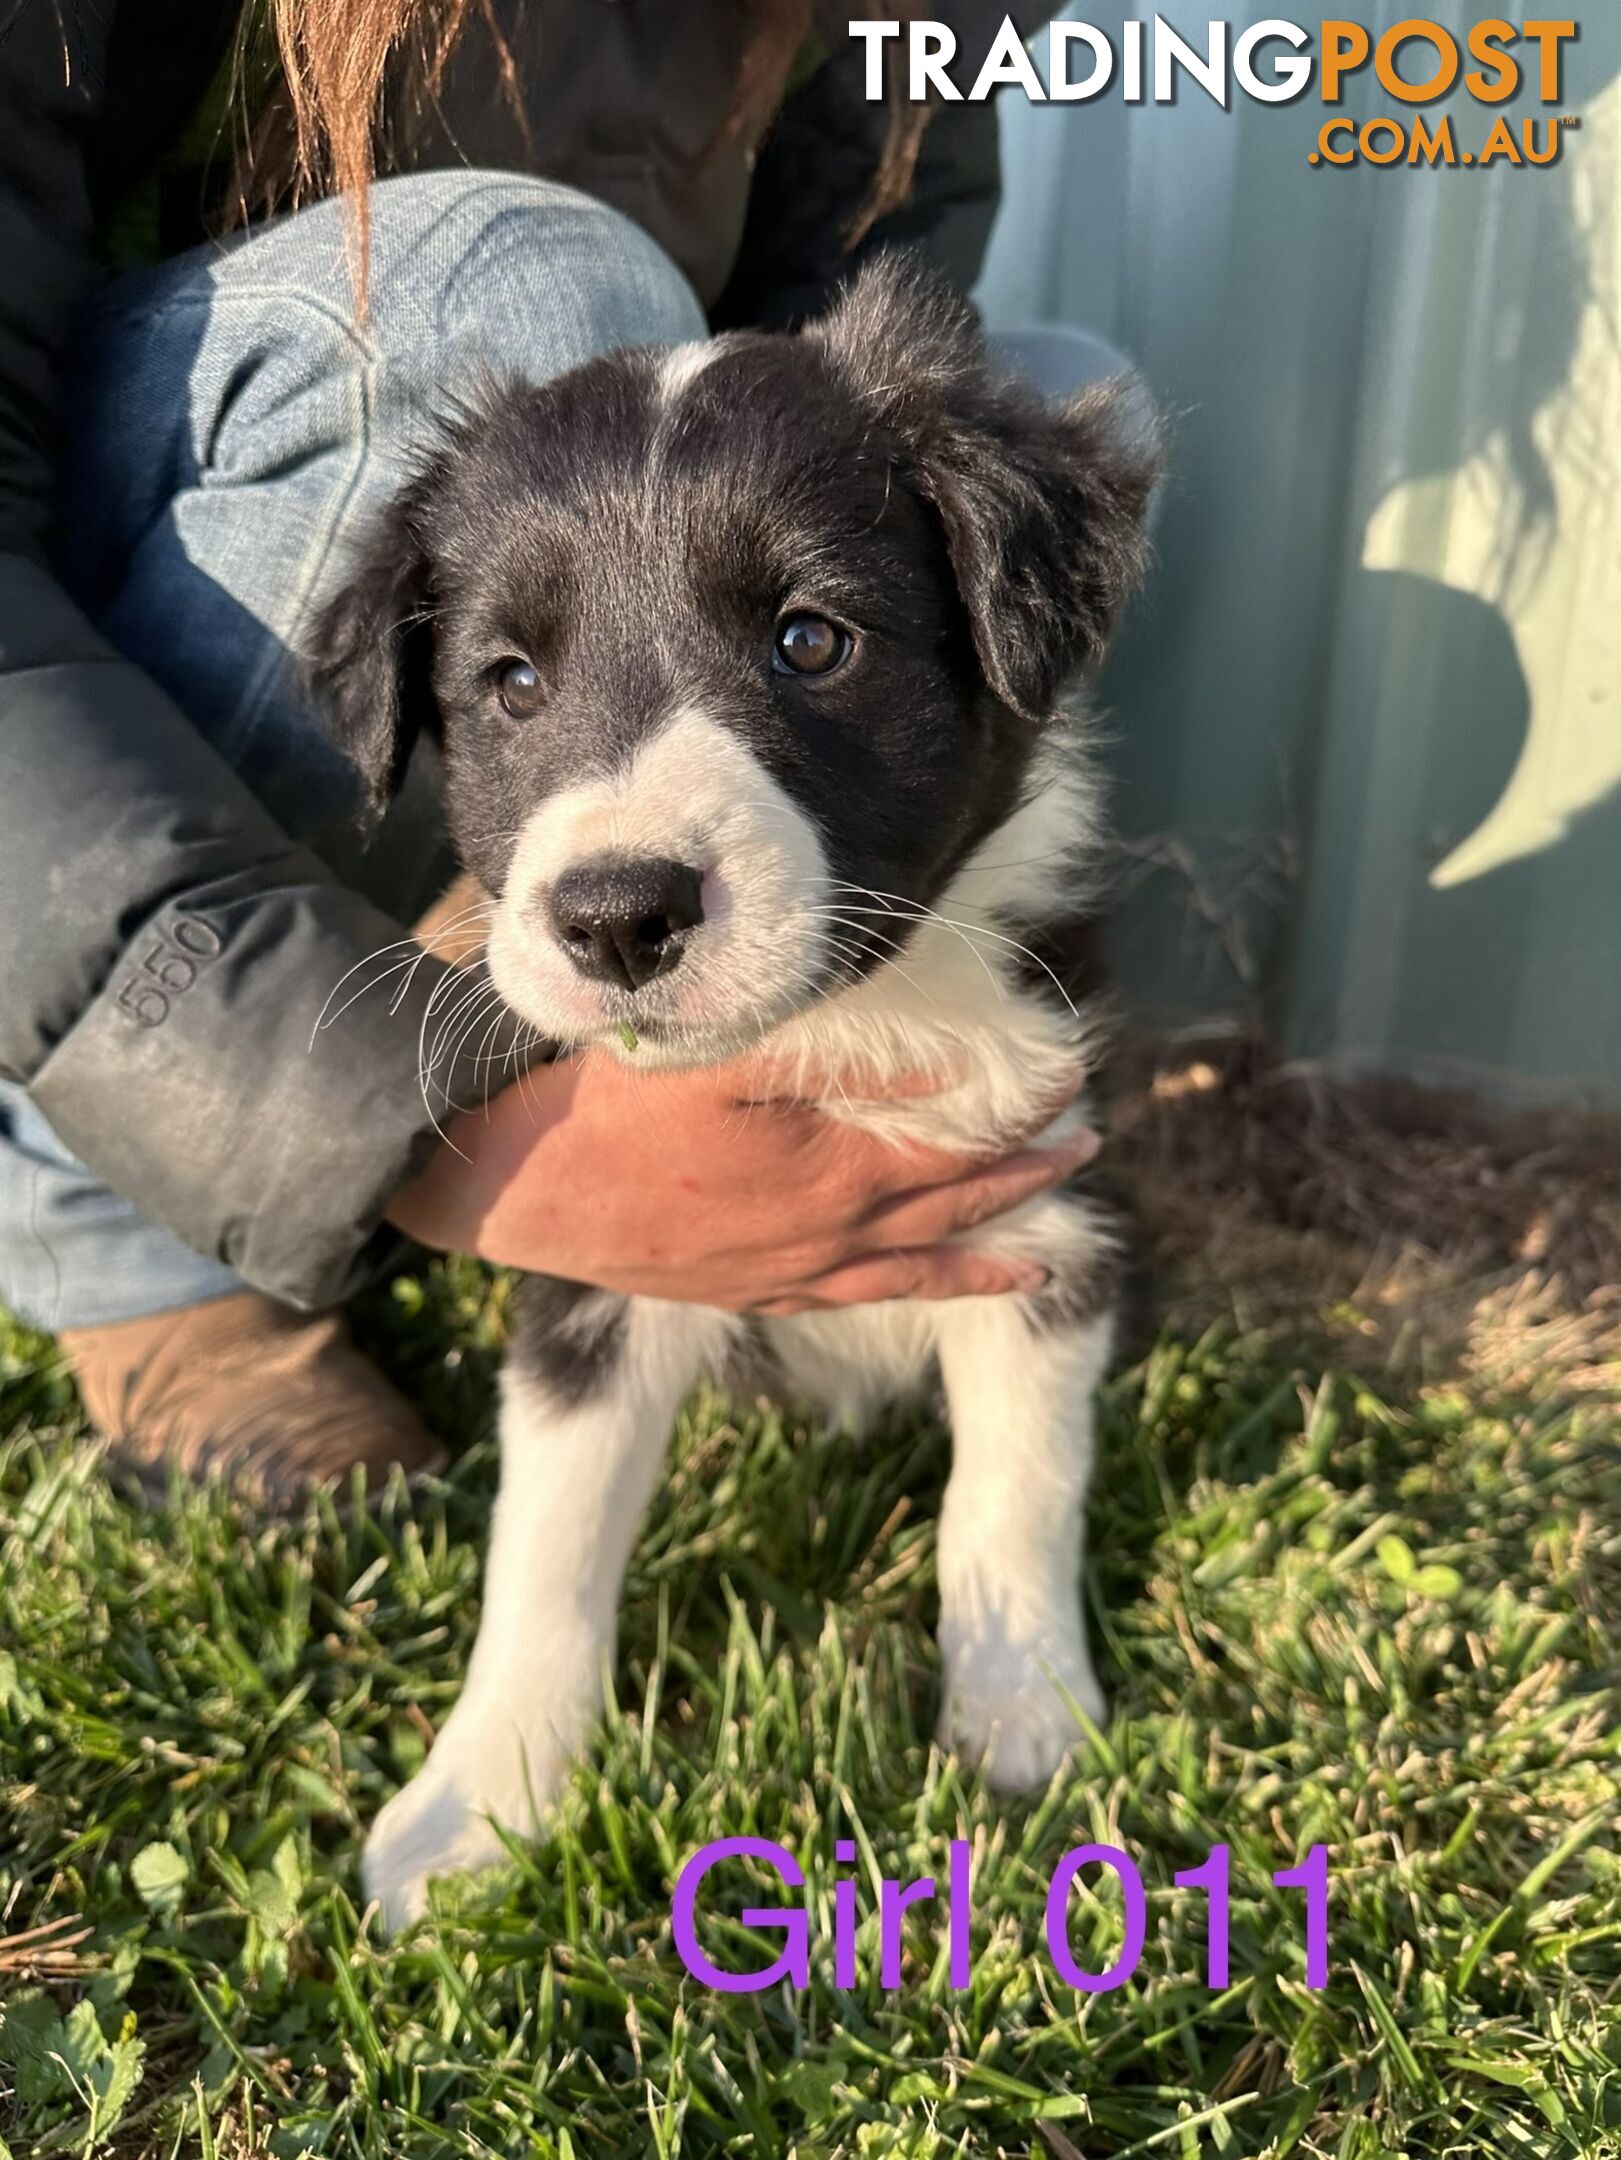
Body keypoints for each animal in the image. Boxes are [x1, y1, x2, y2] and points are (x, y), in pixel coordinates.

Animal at [311, 257, 1158, 1926]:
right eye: (512, 683)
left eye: (810, 642)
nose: (616, 917)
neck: (841, 1030)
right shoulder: (599, 1256)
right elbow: (546, 1544)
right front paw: (476, 1810)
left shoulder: (1046, 1213)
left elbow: (1014, 1490)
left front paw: (1027, 1723)